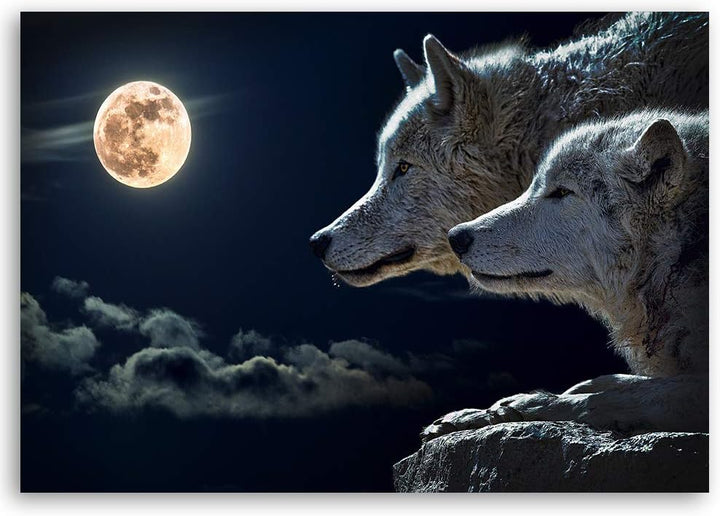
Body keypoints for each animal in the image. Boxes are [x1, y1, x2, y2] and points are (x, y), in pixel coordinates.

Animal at [422, 110, 709, 441]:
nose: (456, 237)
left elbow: (610, 398)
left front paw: (526, 406)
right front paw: (476, 414)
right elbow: (608, 382)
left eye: (561, 192)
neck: (677, 256)